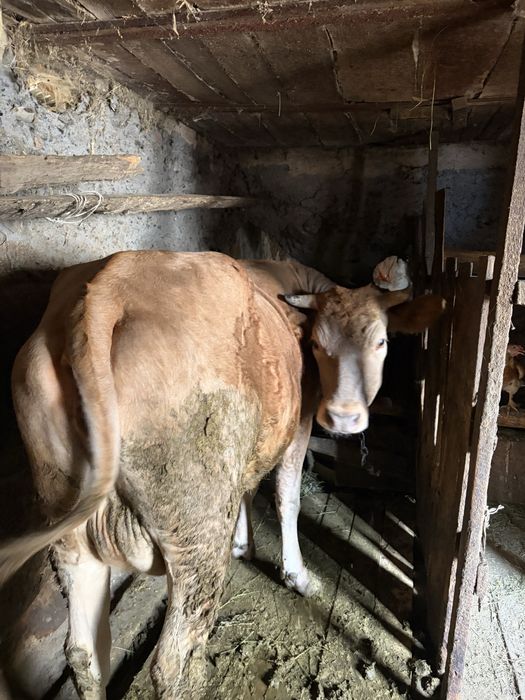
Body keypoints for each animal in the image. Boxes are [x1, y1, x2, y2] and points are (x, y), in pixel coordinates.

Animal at [0, 250, 443, 699]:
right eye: (318, 345)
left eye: (381, 341)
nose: (343, 417)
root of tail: (108, 287)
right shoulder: (299, 422)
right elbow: (287, 498)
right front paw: (297, 574)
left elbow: (247, 486)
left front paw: (243, 543)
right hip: (196, 530)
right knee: (173, 661)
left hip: (69, 537)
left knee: (85, 655)